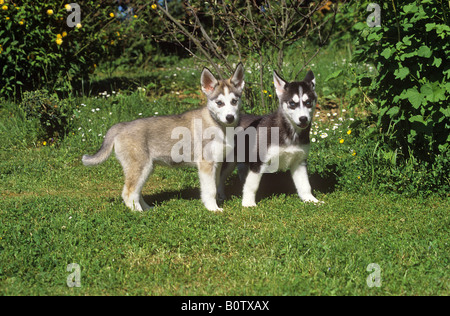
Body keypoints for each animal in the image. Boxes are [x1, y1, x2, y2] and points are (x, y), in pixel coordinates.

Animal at [84, 63, 246, 212]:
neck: (218, 125)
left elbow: (216, 185)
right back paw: (138, 213)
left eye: (234, 101)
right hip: (140, 167)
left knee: (136, 192)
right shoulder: (206, 164)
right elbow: (210, 190)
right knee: (128, 193)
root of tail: (121, 126)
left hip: (146, 168)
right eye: (219, 103)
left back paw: (147, 209)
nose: (230, 117)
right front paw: (213, 209)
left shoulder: (216, 163)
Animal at [219, 70, 320, 206]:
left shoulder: (299, 161)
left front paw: (311, 200)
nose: (303, 119)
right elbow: (252, 185)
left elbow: (305, 185)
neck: (290, 132)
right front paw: (248, 204)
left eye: (308, 102)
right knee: (220, 176)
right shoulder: (258, 161)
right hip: (230, 160)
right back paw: (220, 194)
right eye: (292, 104)